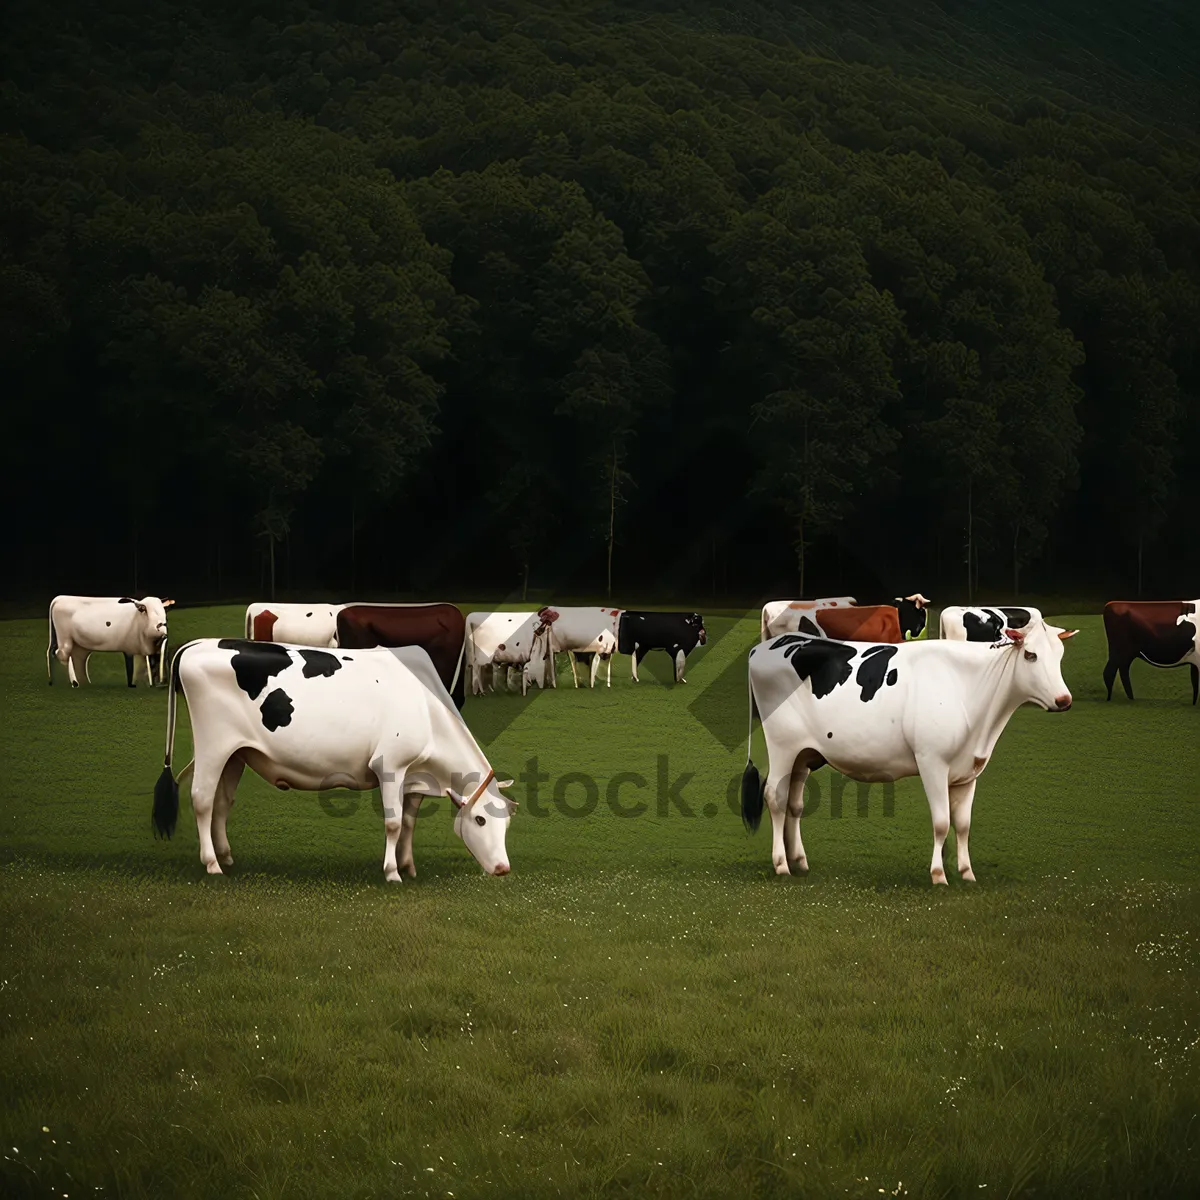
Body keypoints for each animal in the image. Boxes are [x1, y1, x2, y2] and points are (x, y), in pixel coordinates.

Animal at [151, 638, 516, 883]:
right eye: (480, 820)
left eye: (507, 824)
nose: (503, 868)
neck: (427, 707)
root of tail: (197, 644)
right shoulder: (390, 766)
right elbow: (394, 823)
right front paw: (392, 872)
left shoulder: (415, 775)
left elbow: (410, 822)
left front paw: (408, 866)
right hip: (213, 746)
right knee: (202, 799)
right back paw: (211, 863)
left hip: (236, 754)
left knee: (222, 802)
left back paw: (226, 857)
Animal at [739, 624, 1080, 888]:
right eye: (1030, 655)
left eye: (1060, 655)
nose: (1064, 700)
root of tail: (765, 646)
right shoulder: (932, 761)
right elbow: (942, 822)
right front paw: (939, 875)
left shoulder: (969, 770)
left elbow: (964, 824)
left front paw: (967, 873)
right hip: (782, 745)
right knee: (775, 797)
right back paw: (781, 864)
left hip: (804, 755)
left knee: (794, 803)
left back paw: (799, 861)